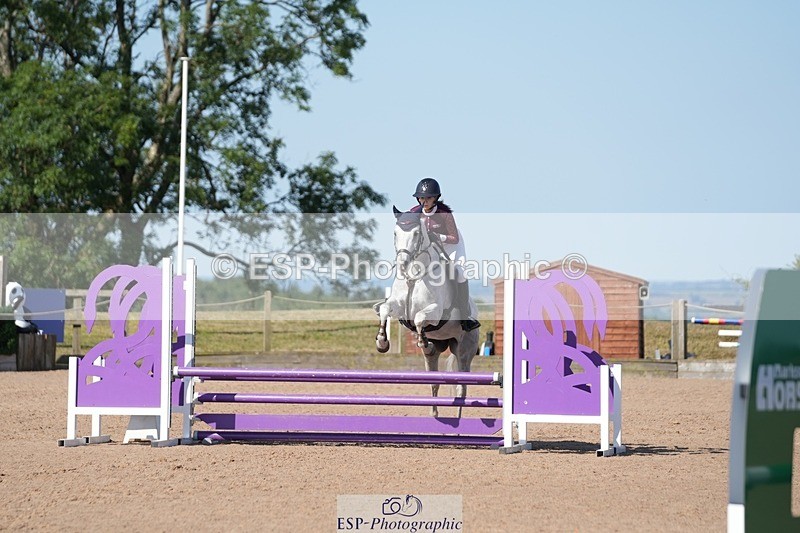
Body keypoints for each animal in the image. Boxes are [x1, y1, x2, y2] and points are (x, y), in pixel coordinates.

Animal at [374, 206, 481, 416]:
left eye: (416, 234)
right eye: (395, 233)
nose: (402, 264)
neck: (414, 275)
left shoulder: (435, 312)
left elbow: (419, 318)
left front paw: (423, 341)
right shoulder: (398, 306)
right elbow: (385, 309)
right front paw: (382, 342)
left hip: (464, 351)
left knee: (461, 388)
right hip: (439, 352)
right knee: (434, 383)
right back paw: (434, 414)